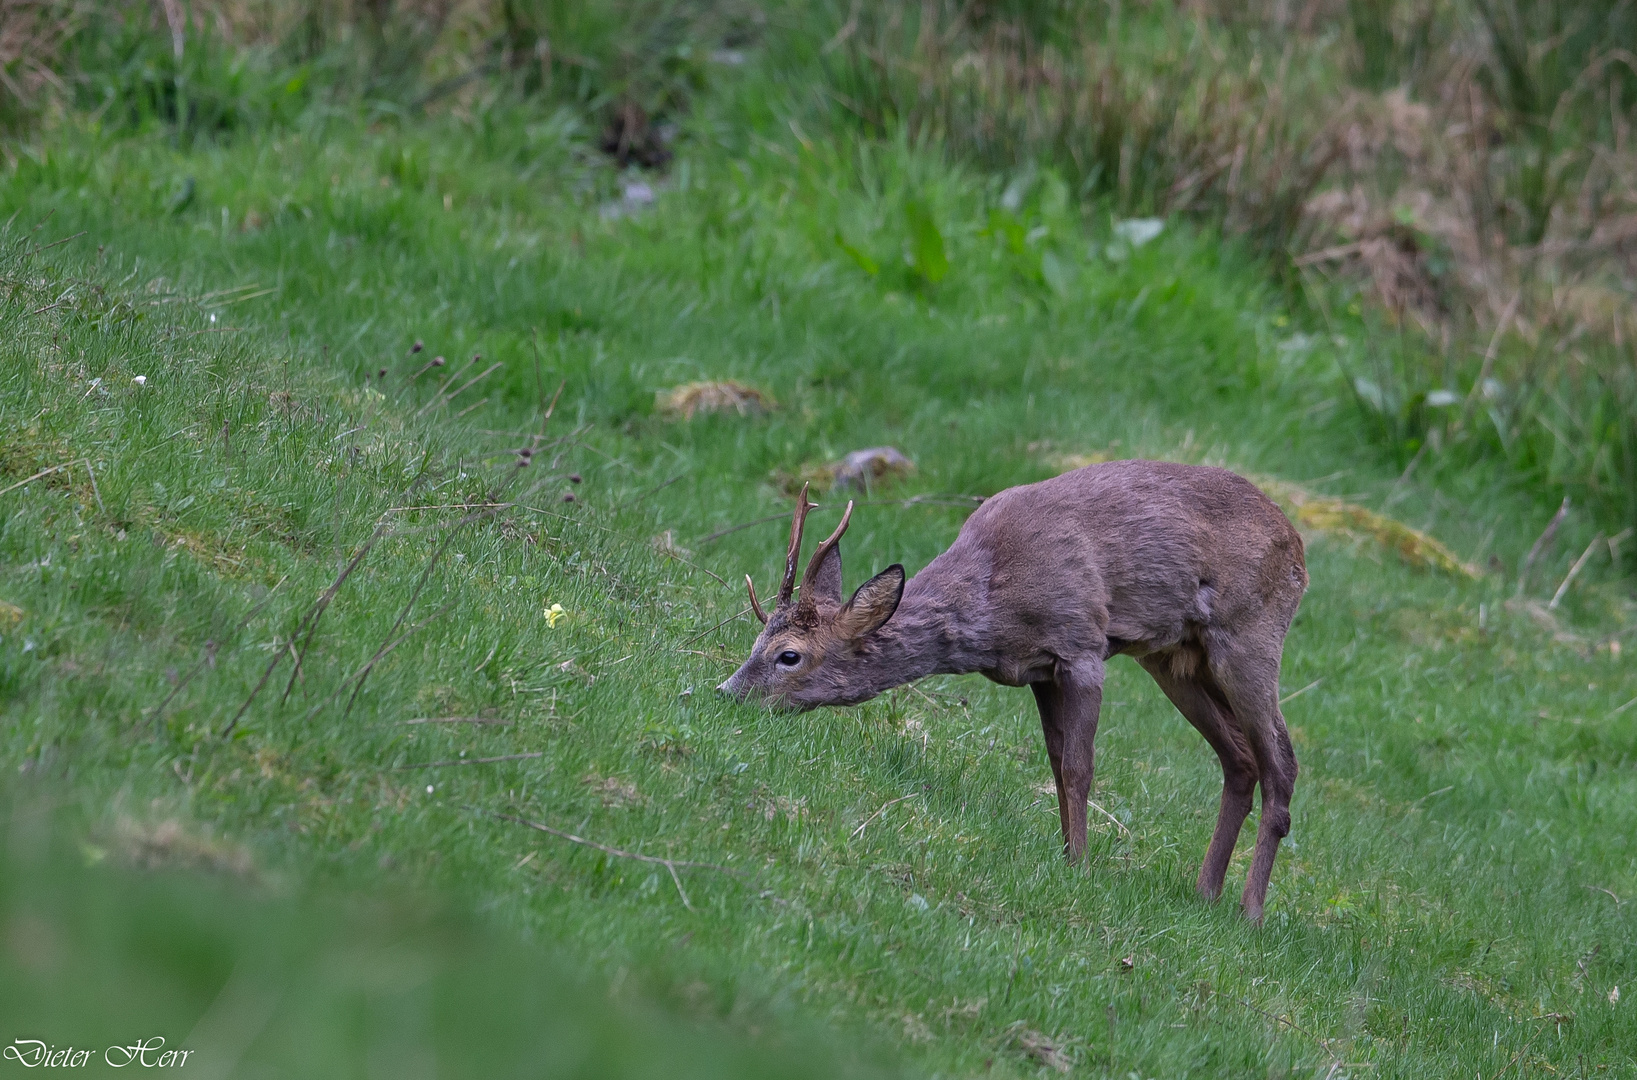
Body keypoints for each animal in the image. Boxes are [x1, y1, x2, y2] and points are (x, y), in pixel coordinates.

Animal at [717, 461, 1303, 922]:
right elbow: (1056, 761)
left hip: (1249, 635)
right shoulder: (1038, 671)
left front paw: (1081, 864)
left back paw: (1251, 910)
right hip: (1174, 657)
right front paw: (1066, 855)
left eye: (789, 655)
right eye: (758, 638)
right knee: (1240, 757)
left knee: (1281, 759)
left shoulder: (1082, 642)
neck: (994, 601)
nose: (726, 692)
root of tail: (1297, 544)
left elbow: (1079, 766)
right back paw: (1205, 892)